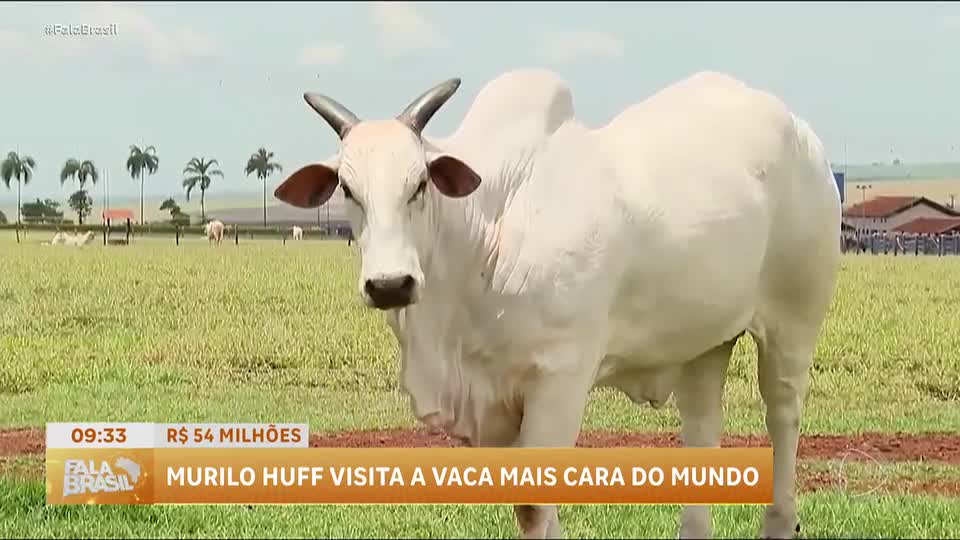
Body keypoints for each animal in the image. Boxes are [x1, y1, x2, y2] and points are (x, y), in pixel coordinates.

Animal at [274, 69, 842, 539]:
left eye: (420, 184)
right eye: (347, 188)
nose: (390, 284)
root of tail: (803, 134)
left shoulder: (559, 379)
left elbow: (533, 504)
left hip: (793, 324)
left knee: (783, 413)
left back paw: (780, 520)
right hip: (705, 340)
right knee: (702, 424)